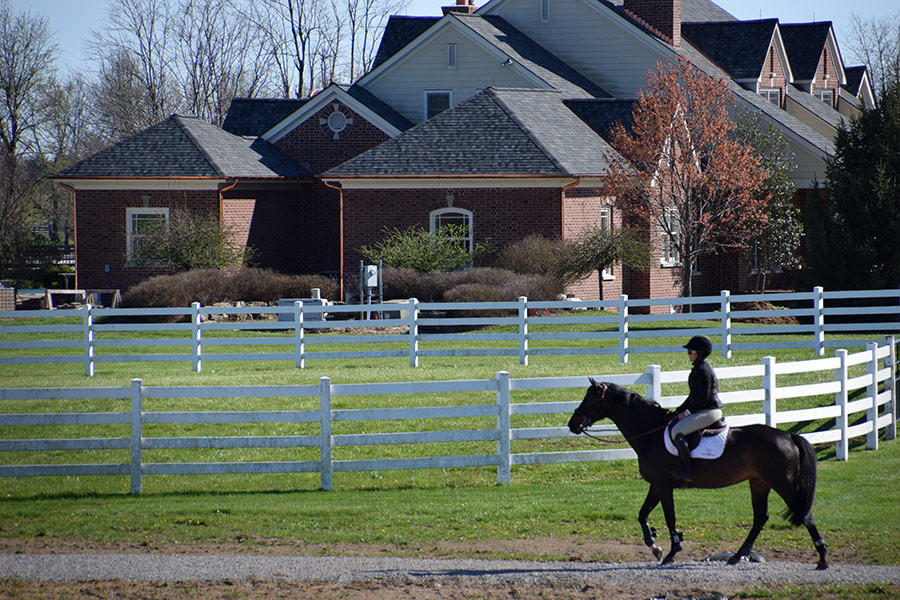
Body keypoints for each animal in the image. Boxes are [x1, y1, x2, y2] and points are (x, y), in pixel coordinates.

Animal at [568, 378, 828, 568]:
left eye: (591, 398)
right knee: (760, 518)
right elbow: (642, 515)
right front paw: (654, 546)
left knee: (804, 515)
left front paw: (671, 552)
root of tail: (788, 436)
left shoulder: (664, 486)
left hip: (781, 482)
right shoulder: (656, 485)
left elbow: (669, 518)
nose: (573, 424)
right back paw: (736, 556)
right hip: (759, 483)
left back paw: (822, 558)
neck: (650, 433)